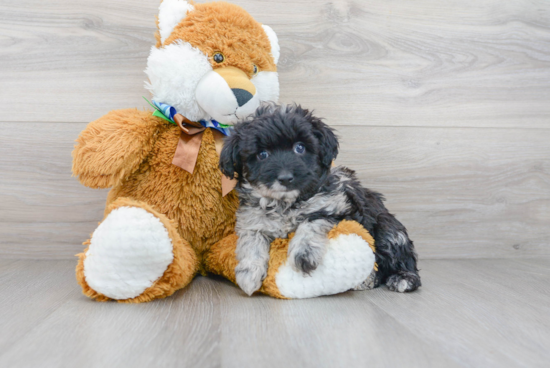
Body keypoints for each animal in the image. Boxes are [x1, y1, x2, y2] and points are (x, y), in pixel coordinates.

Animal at [220, 103, 422, 296]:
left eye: (300, 148)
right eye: (262, 154)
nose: (285, 178)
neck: (285, 204)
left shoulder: (336, 207)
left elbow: (311, 223)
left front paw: (304, 254)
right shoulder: (253, 221)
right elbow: (251, 241)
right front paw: (248, 273)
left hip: (388, 230)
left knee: (401, 259)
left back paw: (399, 278)